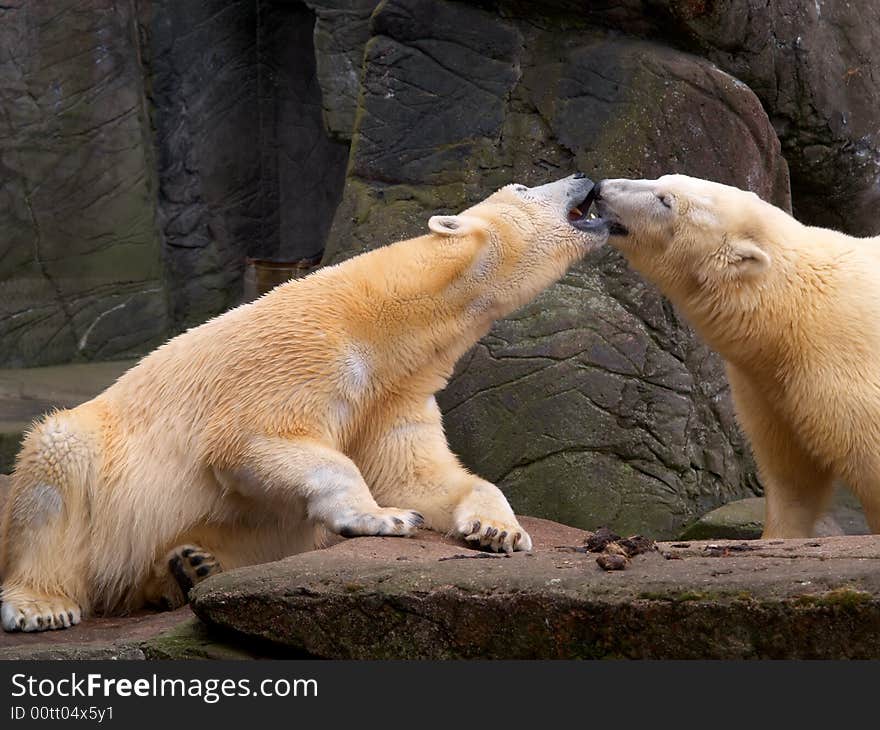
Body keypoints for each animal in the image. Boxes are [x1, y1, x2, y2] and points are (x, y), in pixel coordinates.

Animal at [0, 173, 604, 628]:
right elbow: (257, 442)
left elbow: (420, 474)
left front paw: (498, 530)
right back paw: (42, 604)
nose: (583, 175)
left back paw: (191, 565)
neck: (387, 321)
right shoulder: (304, 353)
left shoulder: (395, 392)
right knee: (55, 463)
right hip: (97, 472)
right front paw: (384, 517)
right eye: (524, 185)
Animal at [588, 173, 880, 540]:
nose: (600, 189)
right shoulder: (767, 387)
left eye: (665, 200)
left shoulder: (840, 366)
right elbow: (791, 475)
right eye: (663, 178)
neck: (789, 312)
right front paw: (776, 535)